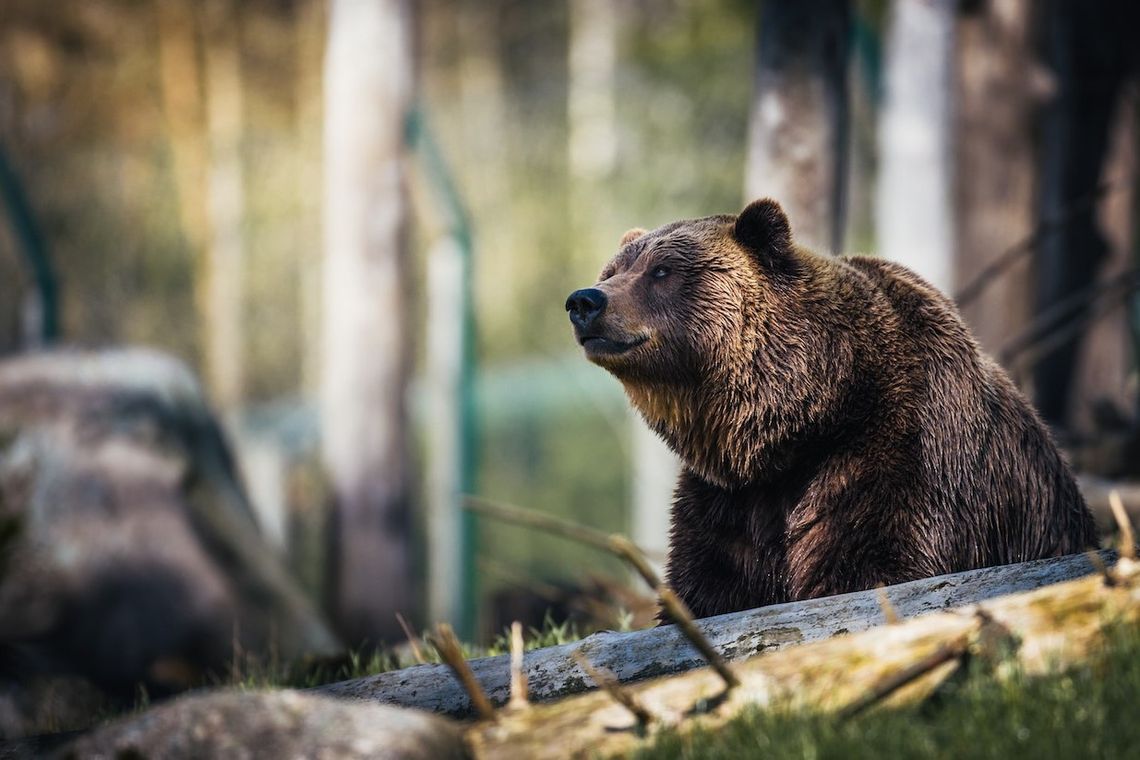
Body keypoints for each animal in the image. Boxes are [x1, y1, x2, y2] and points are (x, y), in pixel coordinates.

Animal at [565, 199, 1098, 619]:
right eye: (612, 271)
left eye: (662, 271)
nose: (584, 300)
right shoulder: (729, 500)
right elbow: (709, 586)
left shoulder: (899, 454)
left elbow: (873, 565)